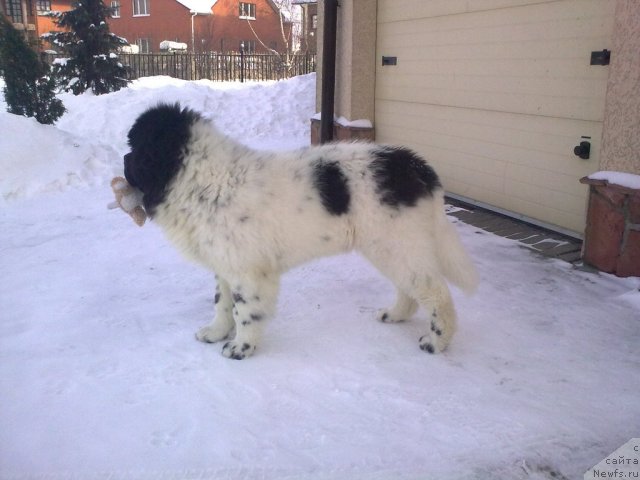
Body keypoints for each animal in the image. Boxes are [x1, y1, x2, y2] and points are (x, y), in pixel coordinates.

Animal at [124, 105, 476, 360]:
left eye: (135, 149)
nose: (123, 160)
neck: (204, 178)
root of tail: (418, 167)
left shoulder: (248, 271)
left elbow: (243, 310)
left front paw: (241, 348)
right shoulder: (225, 264)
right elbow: (222, 303)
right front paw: (215, 332)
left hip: (397, 243)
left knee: (436, 293)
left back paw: (436, 342)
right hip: (393, 247)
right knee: (412, 287)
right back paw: (396, 315)